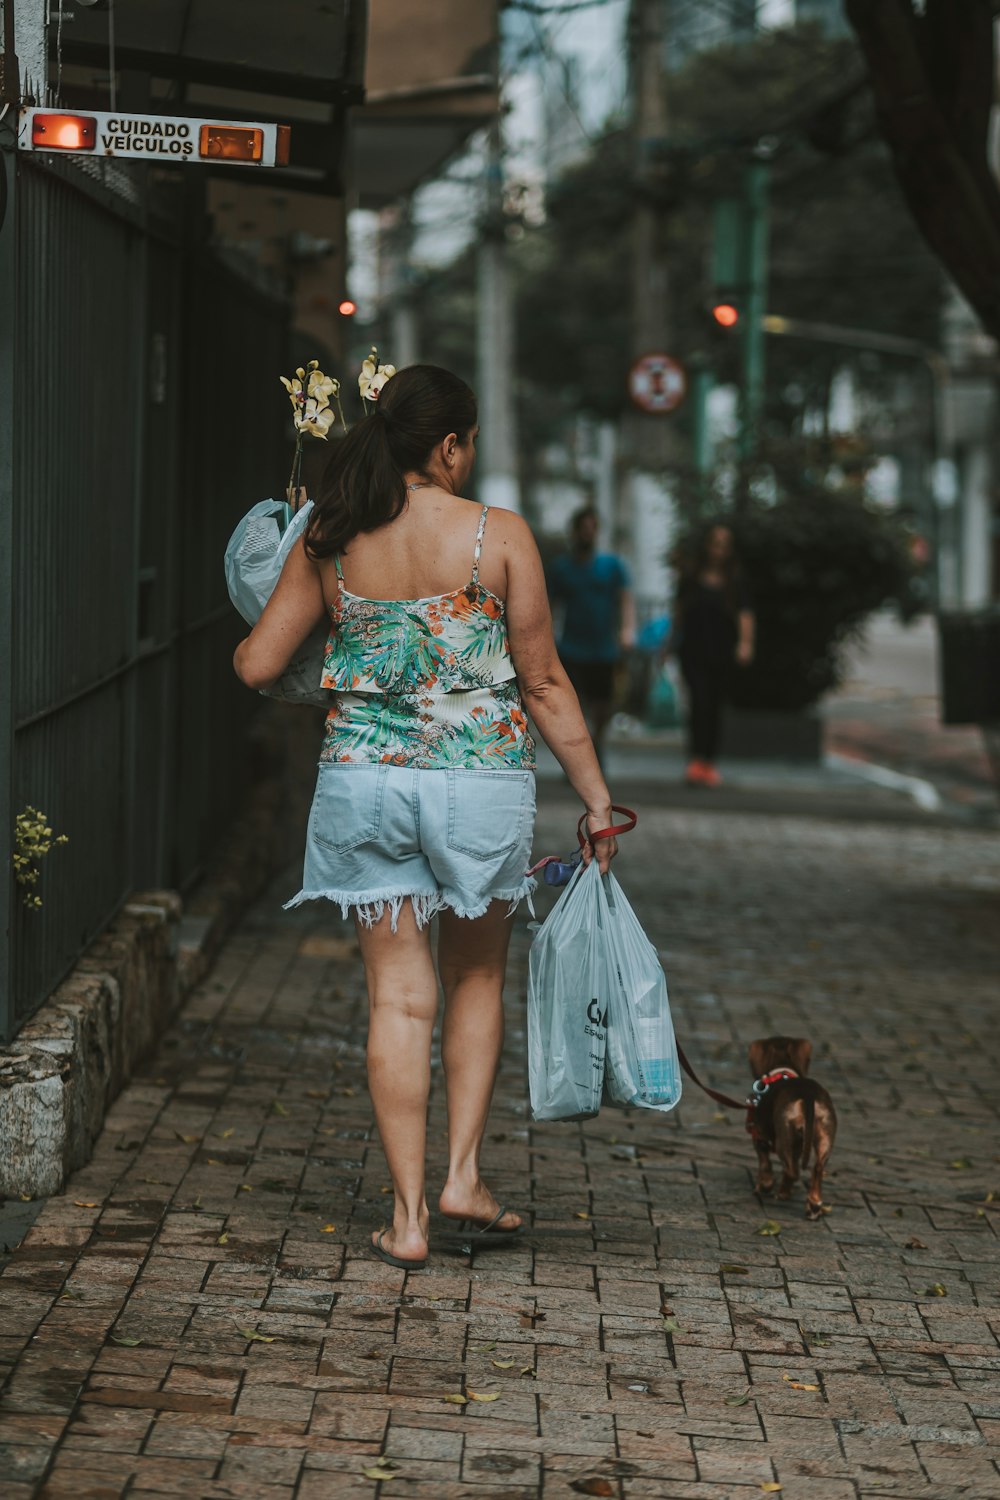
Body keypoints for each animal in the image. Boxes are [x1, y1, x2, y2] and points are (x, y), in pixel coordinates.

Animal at [746, 1038, 839, 1224]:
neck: (782, 1070)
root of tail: (808, 1095)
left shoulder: (759, 1136)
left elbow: (765, 1164)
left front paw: (764, 1185)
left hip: (784, 1140)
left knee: (792, 1171)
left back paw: (782, 1193)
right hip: (824, 1136)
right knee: (817, 1169)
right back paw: (814, 1204)